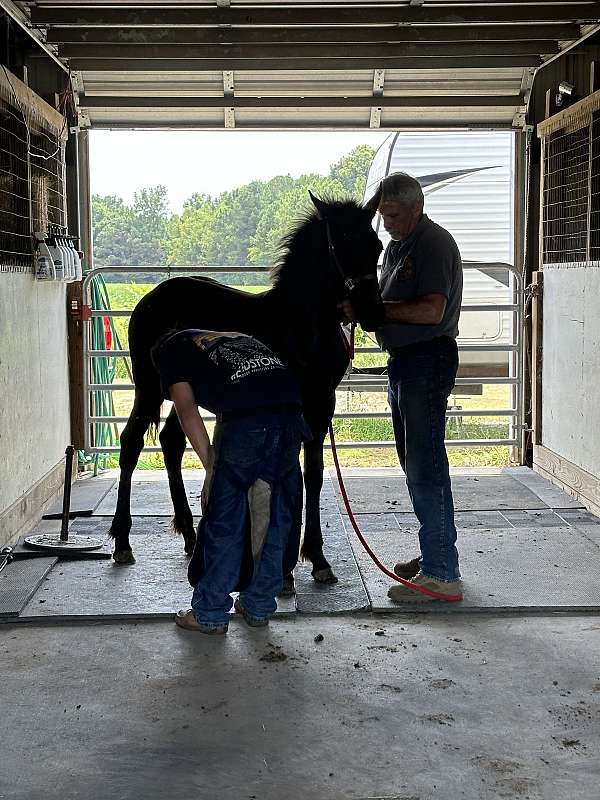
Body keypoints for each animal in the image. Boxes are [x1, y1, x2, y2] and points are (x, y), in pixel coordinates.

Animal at [109, 191, 382, 584]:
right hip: (148, 388)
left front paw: (317, 558)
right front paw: (285, 569)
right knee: (132, 443)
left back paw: (191, 535)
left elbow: (313, 475)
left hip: (181, 391)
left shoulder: (321, 405)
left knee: (171, 441)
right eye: (341, 242)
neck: (298, 325)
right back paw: (122, 541)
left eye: (376, 245)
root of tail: (152, 297)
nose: (374, 312)